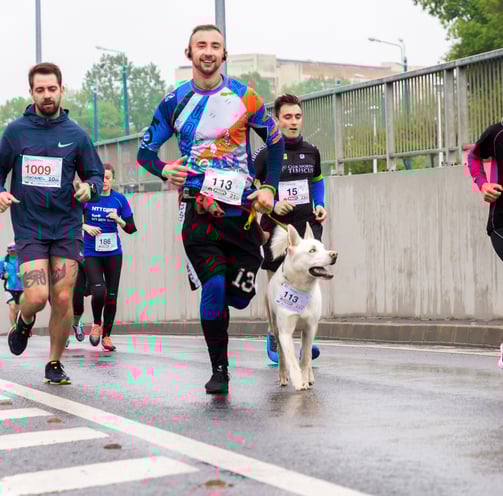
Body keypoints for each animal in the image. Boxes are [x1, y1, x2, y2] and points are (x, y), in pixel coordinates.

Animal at [265, 223, 337, 391]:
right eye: (312, 250)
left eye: (323, 247)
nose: (334, 254)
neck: (301, 289)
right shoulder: (285, 332)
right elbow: (291, 359)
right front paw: (298, 381)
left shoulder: (310, 329)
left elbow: (305, 358)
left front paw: (305, 379)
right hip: (275, 327)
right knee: (281, 353)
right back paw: (283, 376)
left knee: (308, 354)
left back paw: (309, 377)